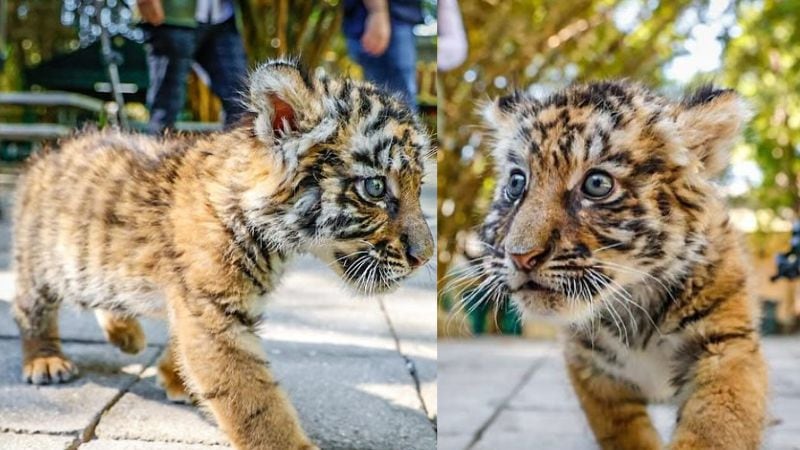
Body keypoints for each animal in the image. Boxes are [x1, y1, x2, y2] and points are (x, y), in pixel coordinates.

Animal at [12, 59, 434, 450]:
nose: (425, 257)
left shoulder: (199, 305)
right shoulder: (214, 313)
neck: (275, 239)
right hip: (47, 264)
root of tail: (49, 152)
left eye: (419, 186)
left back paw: (127, 336)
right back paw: (46, 361)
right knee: (30, 307)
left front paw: (175, 378)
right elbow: (255, 399)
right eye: (375, 187)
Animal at [475, 81, 767, 449]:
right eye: (516, 182)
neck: (634, 302)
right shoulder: (591, 367)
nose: (520, 256)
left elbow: (716, 430)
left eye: (597, 184)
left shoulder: (726, 345)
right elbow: (625, 433)